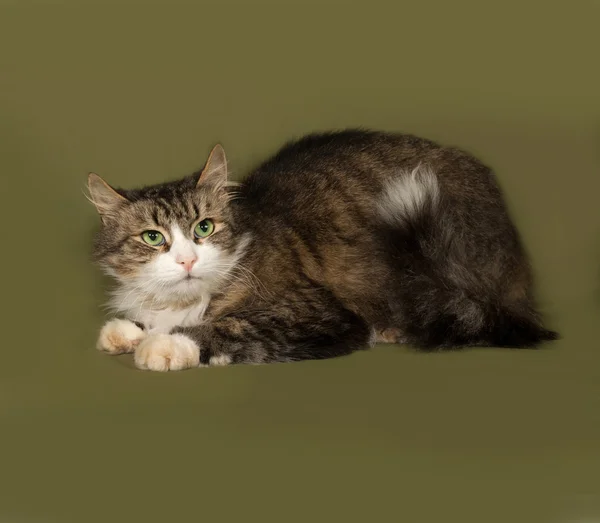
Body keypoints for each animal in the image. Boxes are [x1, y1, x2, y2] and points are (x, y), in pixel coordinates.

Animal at [88, 129, 556, 370]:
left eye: (204, 228)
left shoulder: (317, 313)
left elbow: (228, 326)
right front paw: (130, 331)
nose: (187, 259)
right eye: (154, 238)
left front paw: (165, 345)